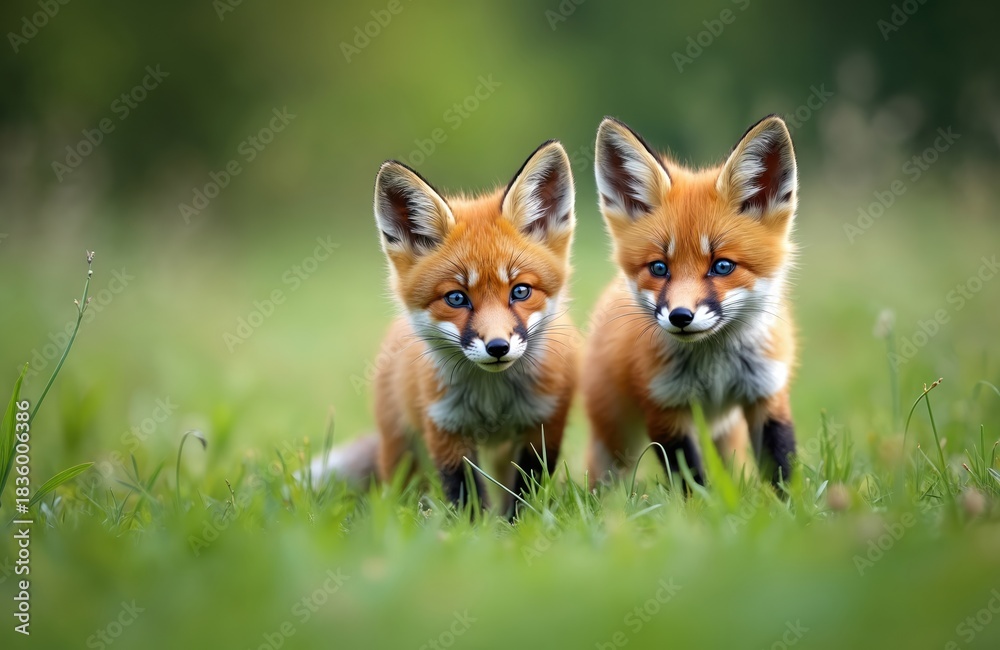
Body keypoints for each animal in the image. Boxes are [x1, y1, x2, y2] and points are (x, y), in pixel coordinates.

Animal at [312, 141, 579, 513]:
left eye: (520, 291)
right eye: (456, 298)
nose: (498, 347)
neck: (491, 401)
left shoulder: (543, 426)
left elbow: (522, 495)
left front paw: (516, 523)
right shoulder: (445, 429)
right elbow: (467, 498)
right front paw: (478, 527)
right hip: (400, 449)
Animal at [583, 115, 799, 491]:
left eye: (722, 266)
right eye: (659, 268)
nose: (680, 316)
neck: (715, 370)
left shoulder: (767, 394)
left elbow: (782, 469)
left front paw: (793, 505)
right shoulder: (664, 407)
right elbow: (691, 482)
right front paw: (701, 504)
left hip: (727, 434)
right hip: (616, 438)